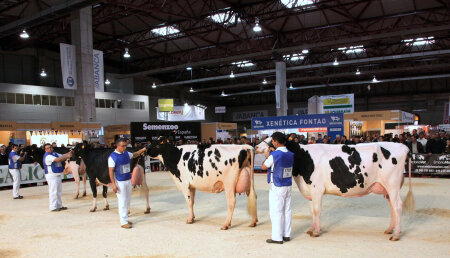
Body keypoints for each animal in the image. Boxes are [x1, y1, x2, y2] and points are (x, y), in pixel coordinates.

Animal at [255, 138, 414, 241]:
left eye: (271, 139)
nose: (256, 146)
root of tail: (403, 147)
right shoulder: (310, 191)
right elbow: (312, 211)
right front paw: (311, 229)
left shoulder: (317, 189)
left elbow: (317, 210)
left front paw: (316, 232)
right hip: (387, 188)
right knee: (392, 207)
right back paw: (389, 230)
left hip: (392, 185)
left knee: (398, 206)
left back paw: (396, 235)